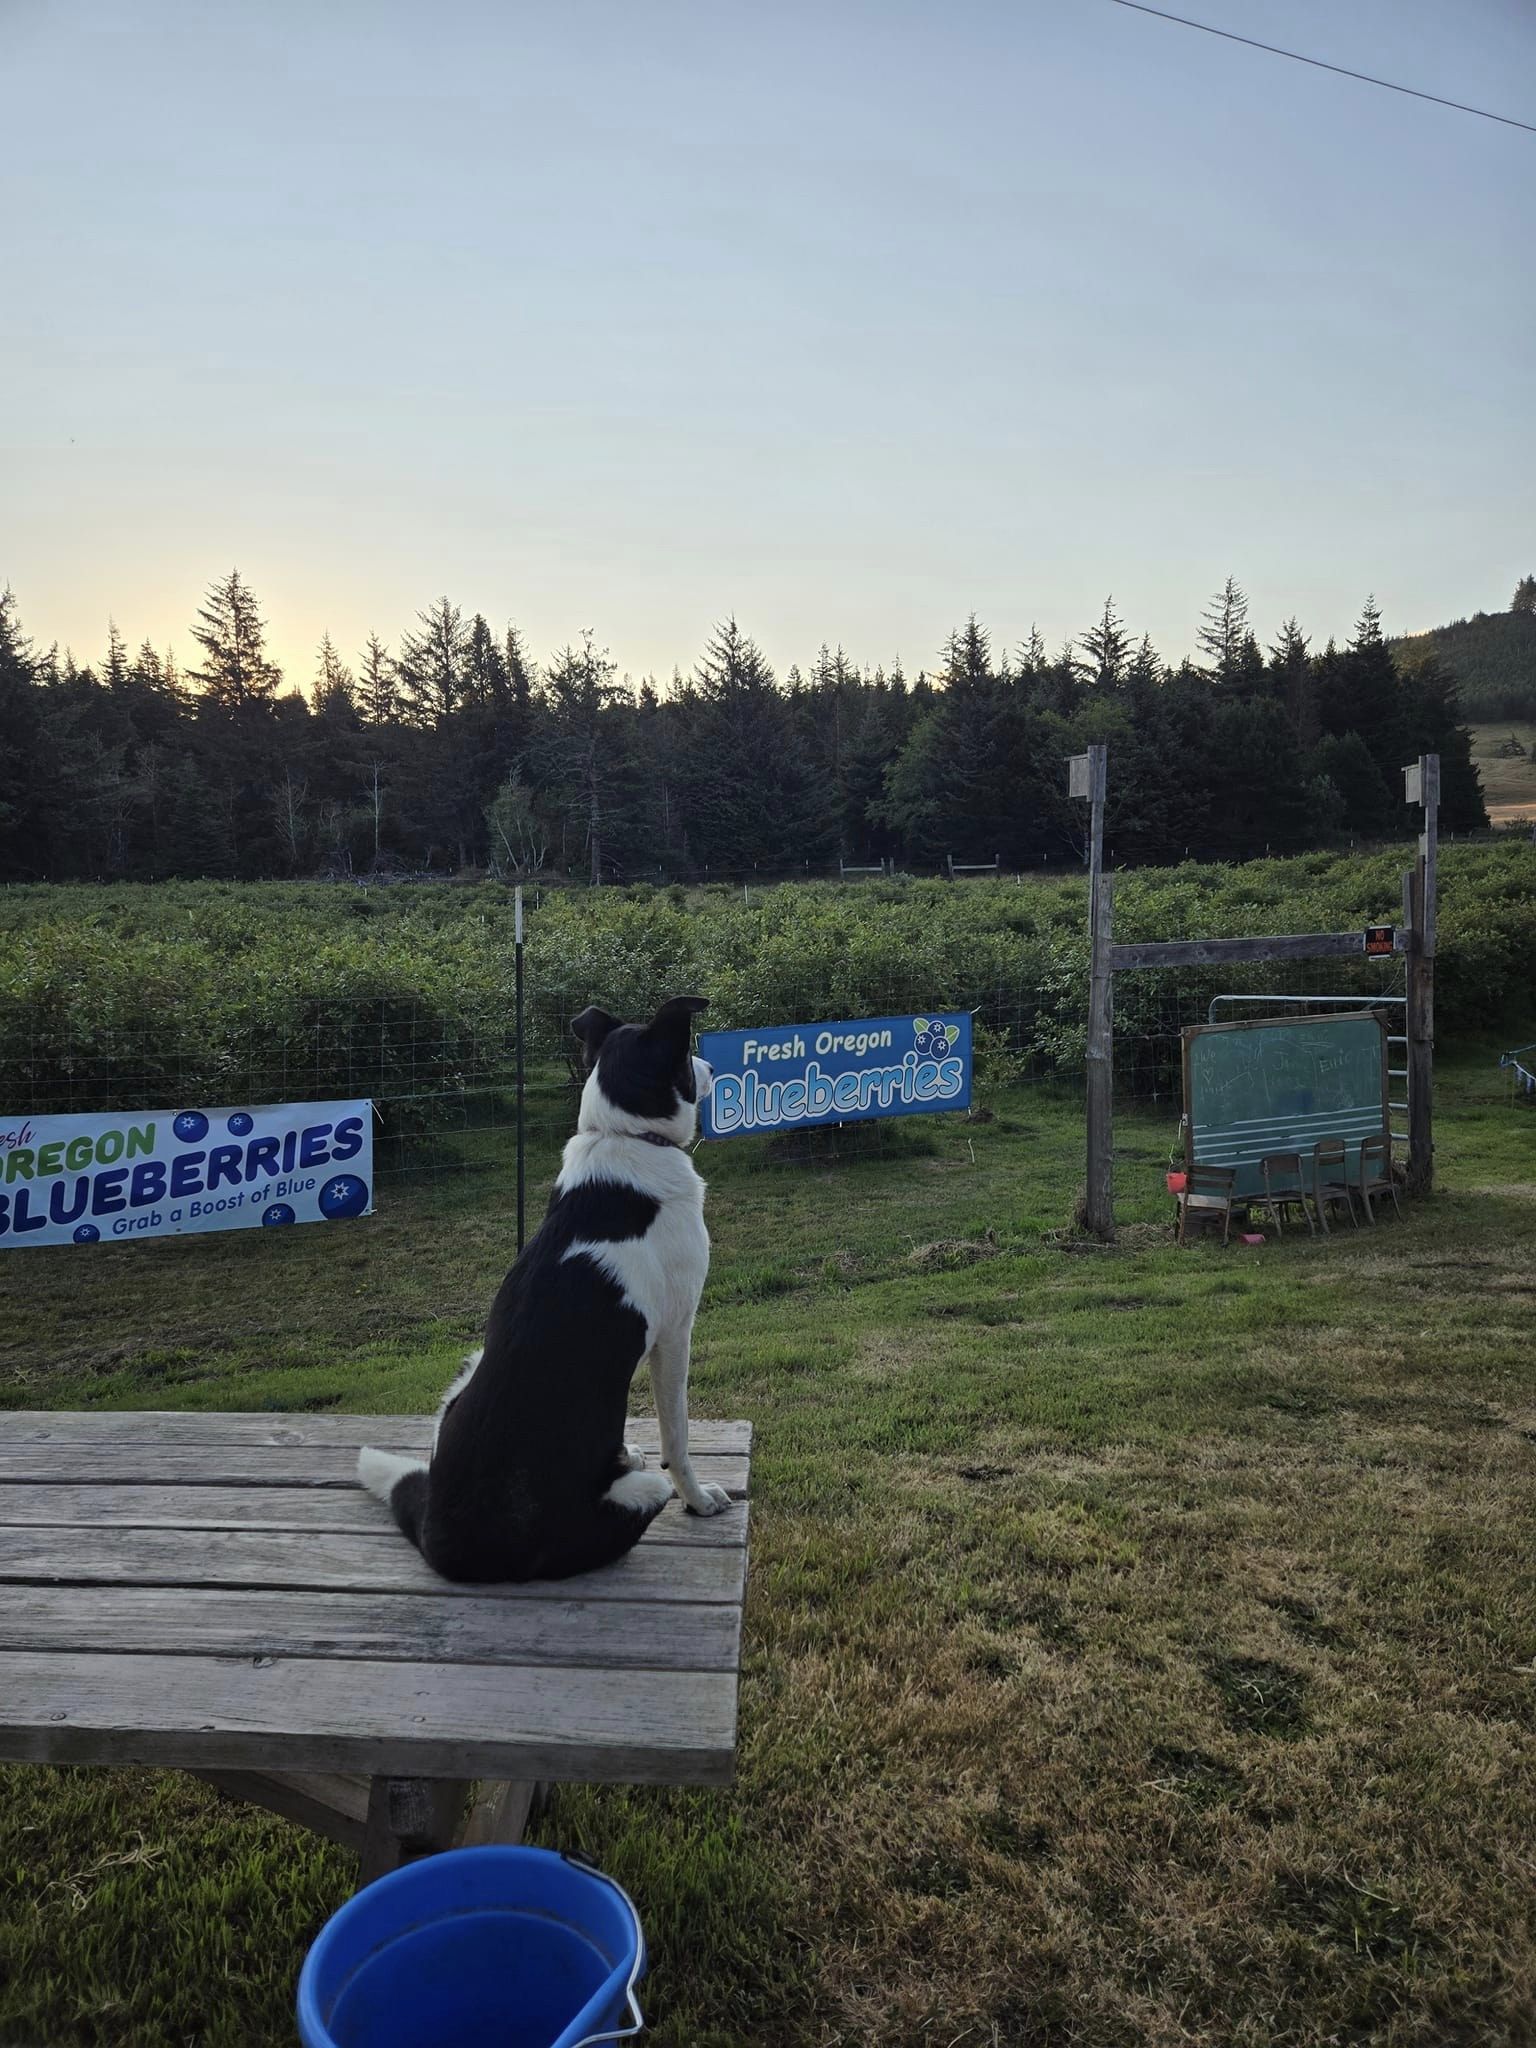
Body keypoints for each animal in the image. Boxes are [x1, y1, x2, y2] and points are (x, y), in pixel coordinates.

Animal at [358, 995, 729, 1581]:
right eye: (687, 1057)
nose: (712, 1068)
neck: (623, 1135)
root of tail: (442, 1538)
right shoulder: (675, 1334)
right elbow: (679, 1435)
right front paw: (700, 1499)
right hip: (642, 1493)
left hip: (466, 1369)